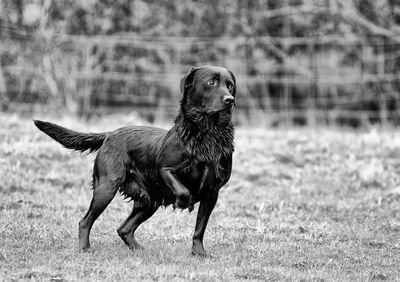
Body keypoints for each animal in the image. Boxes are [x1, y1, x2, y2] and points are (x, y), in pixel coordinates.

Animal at [33, 65, 238, 256]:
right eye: (211, 82)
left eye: (230, 85)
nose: (230, 100)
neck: (207, 135)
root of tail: (110, 134)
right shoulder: (165, 169)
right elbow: (183, 190)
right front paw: (183, 202)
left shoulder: (212, 193)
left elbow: (199, 228)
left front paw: (199, 253)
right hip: (106, 188)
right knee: (85, 221)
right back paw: (84, 248)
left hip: (149, 201)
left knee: (124, 228)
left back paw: (139, 249)